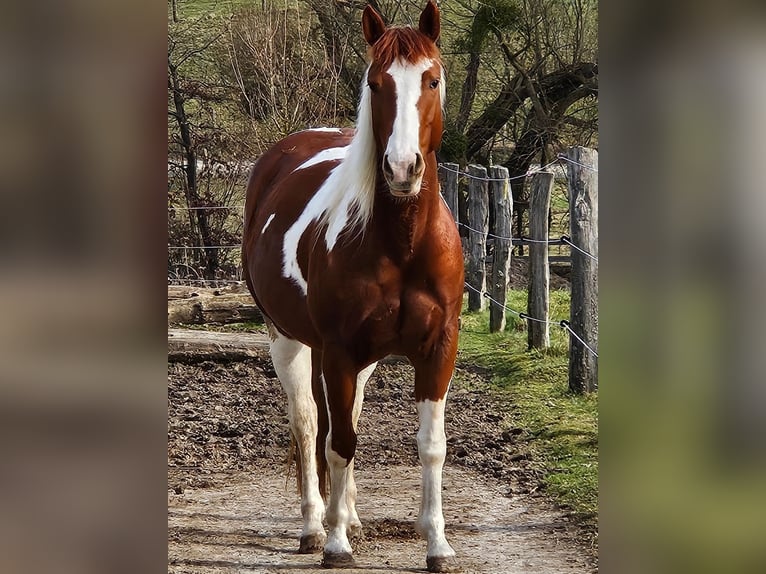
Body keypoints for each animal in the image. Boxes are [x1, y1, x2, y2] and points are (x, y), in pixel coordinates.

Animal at [242, 2, 463, 571]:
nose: (403, 168)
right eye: (375, 83)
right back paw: (314, 525)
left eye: (432, 79)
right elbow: (339, 441)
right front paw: (336, 542)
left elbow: (430, 445)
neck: (401, 243)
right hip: (288, 340)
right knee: (307, 424)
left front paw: (437, 544)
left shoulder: (438, 348)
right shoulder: (339, 350)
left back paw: (352, 516)